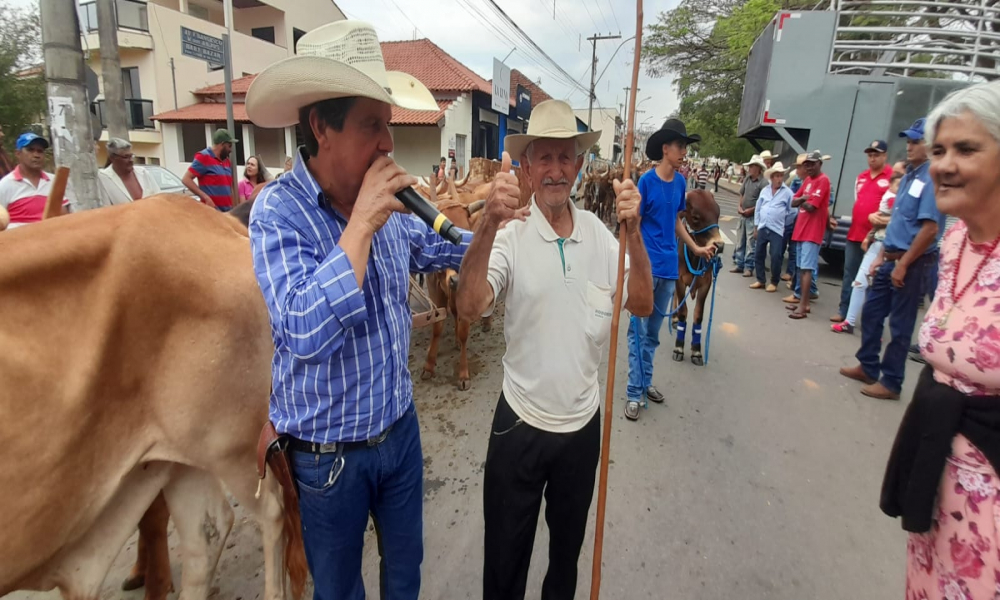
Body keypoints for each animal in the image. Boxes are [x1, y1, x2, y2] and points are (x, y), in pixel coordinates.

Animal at [672, 190, 728, 366]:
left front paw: (696, 351)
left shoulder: (706, 284)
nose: (719, 245)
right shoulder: (679, 280)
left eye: (717, 213)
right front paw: (679, 348)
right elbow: (683, 311)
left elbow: (698, 315)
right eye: (696, 217)